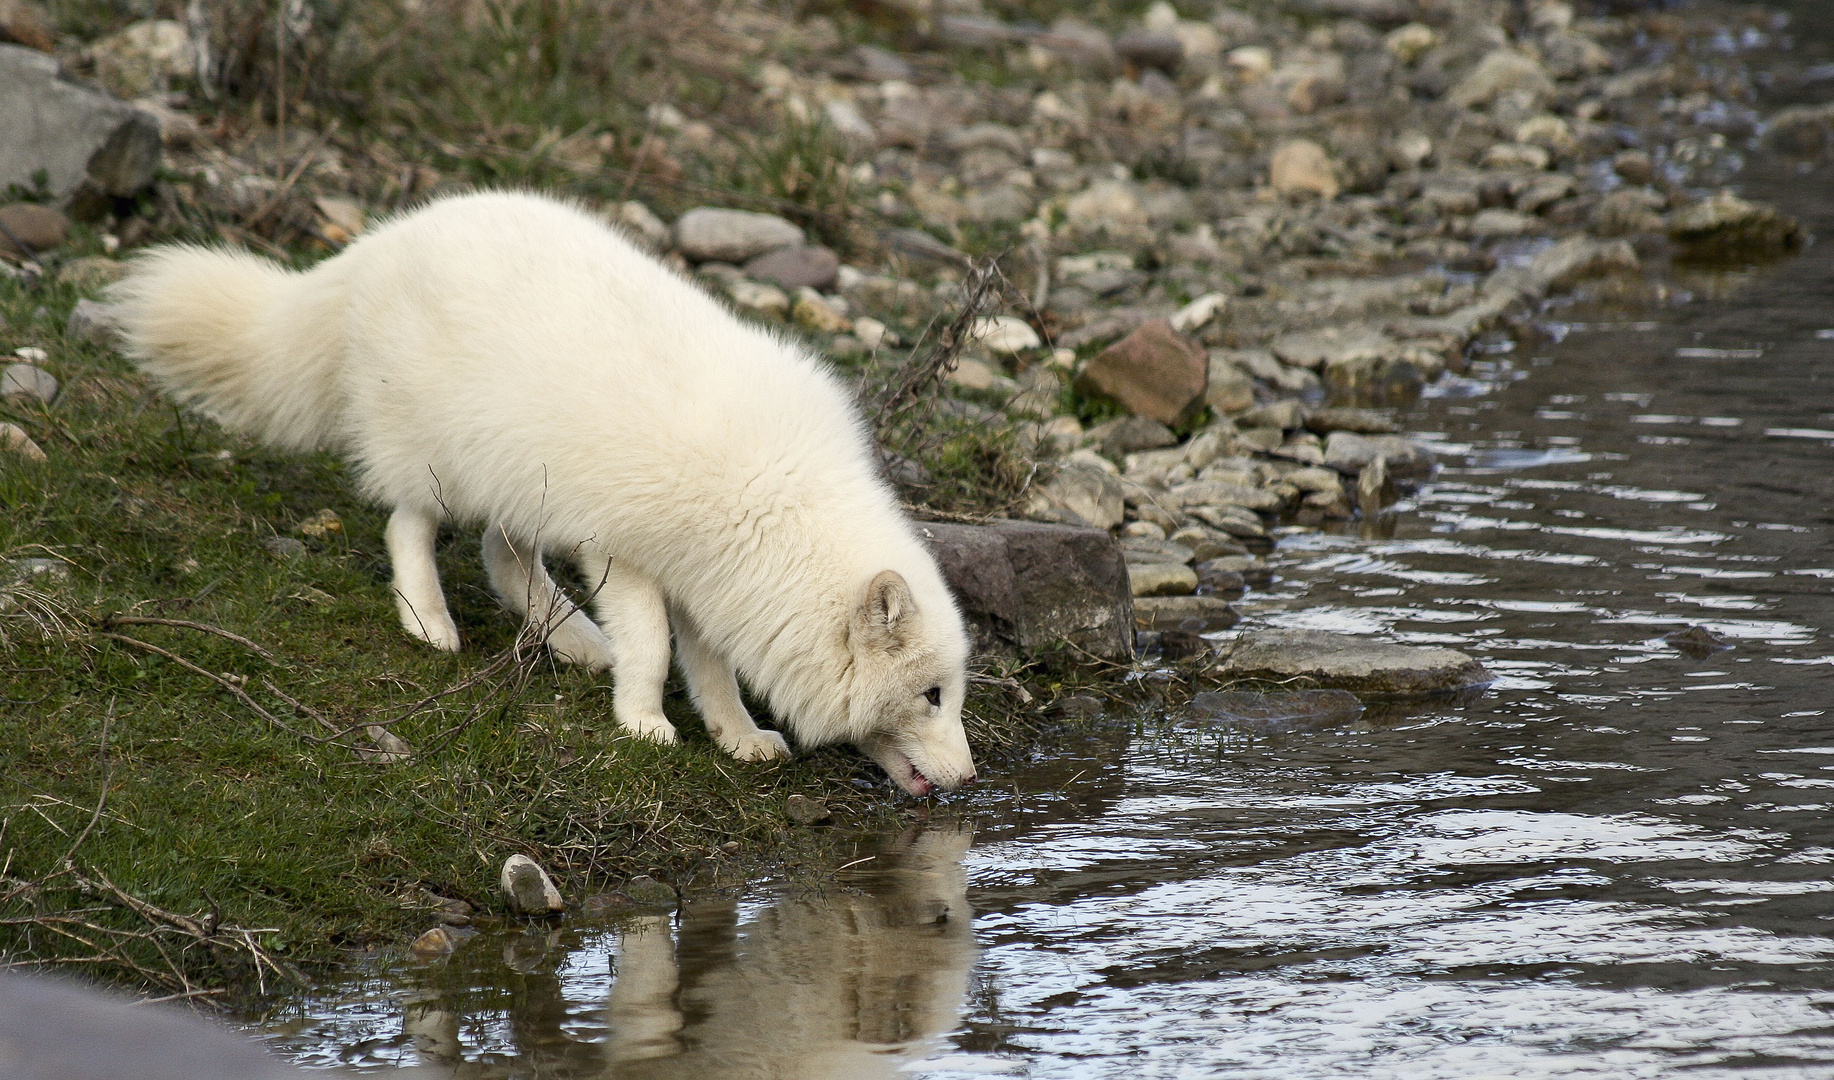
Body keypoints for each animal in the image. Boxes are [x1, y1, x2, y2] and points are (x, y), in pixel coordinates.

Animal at [109, 189, 975, 792]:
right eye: (932, 694)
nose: (970, 778)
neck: (777, 500)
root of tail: (385, 237)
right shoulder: (626, 551)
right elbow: (654, 648)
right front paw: (643, 722)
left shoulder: (706, 578)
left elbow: (710, 668)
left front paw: (736, 736)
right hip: (446, 459)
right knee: (409, 525)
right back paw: (429, 622)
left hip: (523, 477)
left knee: (500, 555)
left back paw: (575, 640)